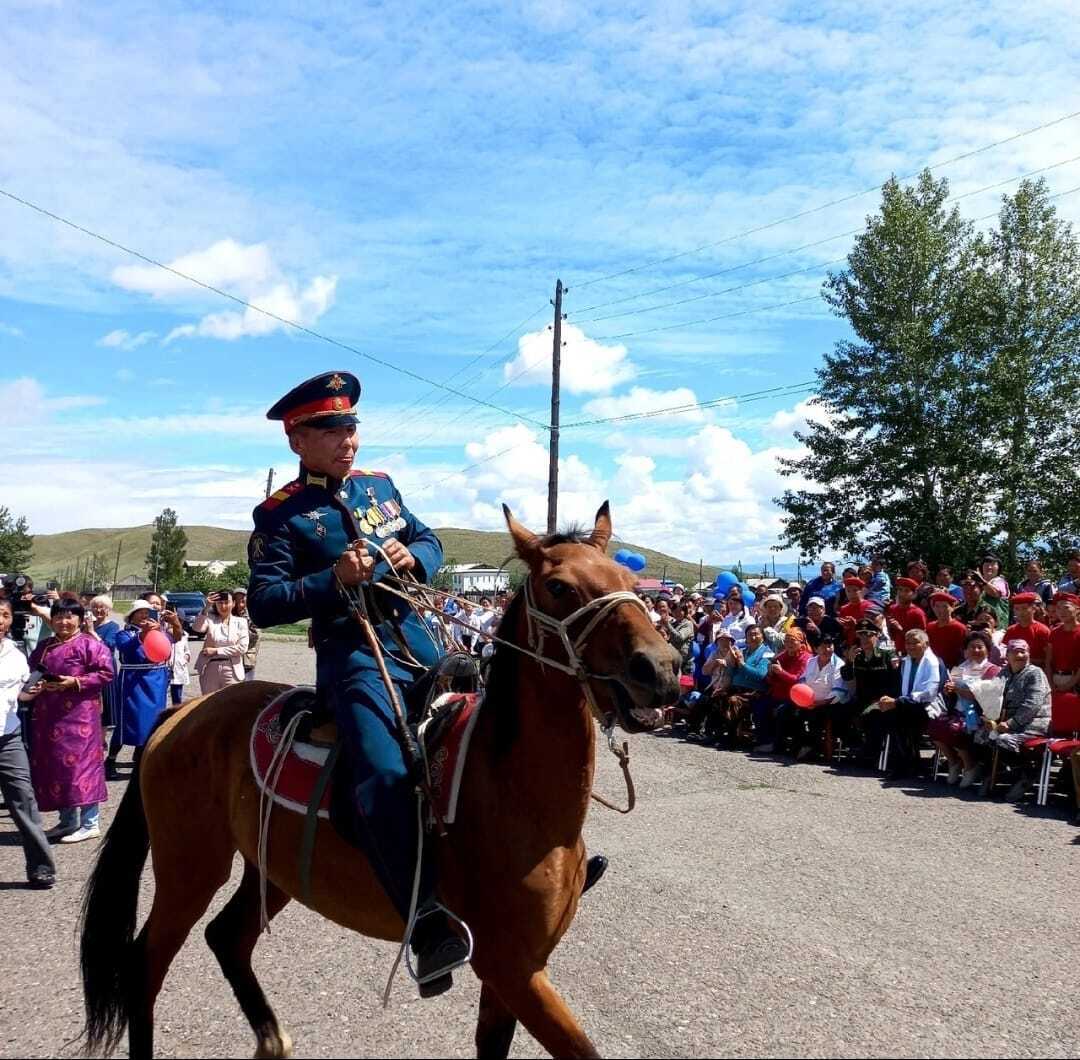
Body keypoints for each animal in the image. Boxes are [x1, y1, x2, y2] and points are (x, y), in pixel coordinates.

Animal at [79, 501, 678, 1054]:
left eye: (630, 583)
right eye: (558, 587)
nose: (661, 670)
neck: (513, 792)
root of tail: (182, 714)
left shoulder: (517, 972)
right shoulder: (511, 966)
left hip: (269, 868)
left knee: (226, 938)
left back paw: (273, 1040)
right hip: (190, 869)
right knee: (144, 967)